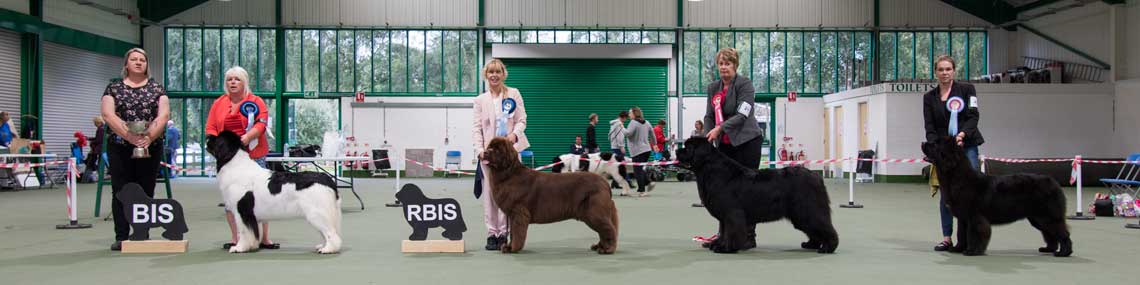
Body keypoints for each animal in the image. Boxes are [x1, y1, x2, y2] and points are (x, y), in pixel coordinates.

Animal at [207, 131, 342, 254]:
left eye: (217, 138)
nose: (208, 136)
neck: (235, 164)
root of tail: (327, 178)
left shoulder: (242, 211)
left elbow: (244, 232)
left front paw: (239, 248)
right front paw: (252, 246)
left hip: (317, 212)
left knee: (331, 233)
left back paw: (328, 249)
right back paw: (322, 246)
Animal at [483, 136, 624, 253]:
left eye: (496, 150)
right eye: (489, 146)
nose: (485, 152)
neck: (508, 174)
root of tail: (605, 184)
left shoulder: (518, 212)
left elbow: (517, 232)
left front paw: (513, 249)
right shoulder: (512, 215)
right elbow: (512, 232)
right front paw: (508, 247)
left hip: (594, 211)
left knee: (608, 229)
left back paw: (607, 249)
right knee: (603, 230)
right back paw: (599, 246)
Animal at [674, 137, 839, 254]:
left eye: (688, 147)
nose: (677, 151)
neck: (711, 170)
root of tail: (816, 176)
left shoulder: (732, 213)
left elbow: (731, 231)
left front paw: (726, 248)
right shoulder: (724, 215)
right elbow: (723, 230)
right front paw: (719, 244)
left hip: (808, 209)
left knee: (823, 226)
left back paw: (828, 247)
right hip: (800, 214)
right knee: (813, 229)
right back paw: (811, 244)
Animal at [921, 136, 1071, 257]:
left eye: (936, 144)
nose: (923, 142)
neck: (958, 178)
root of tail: (1054, 182)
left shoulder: (974, 216)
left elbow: (974, 233)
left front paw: (972, 251)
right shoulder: (963, 217)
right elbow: (961, 234)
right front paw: (957, 249)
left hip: (1048, 216)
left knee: (1062, 232)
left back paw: (1064, 253)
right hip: (1038, 218)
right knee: (1050, 234)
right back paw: (1048, 249)